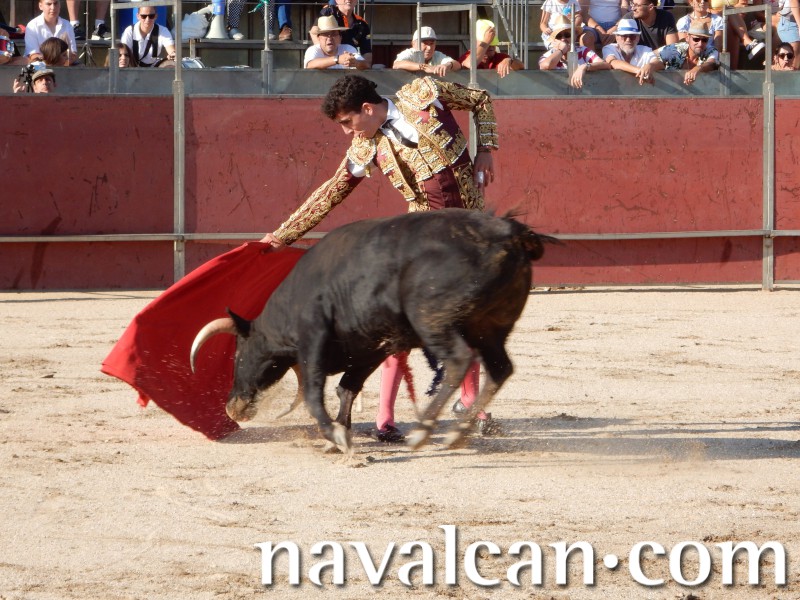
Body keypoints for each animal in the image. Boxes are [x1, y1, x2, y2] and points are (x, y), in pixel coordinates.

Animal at [191, 209, 554, 452]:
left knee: (459, 362)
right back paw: (456, 433)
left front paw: (334, 435)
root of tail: (508, 232)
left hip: (433, 320)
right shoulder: (371, 349)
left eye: (238, 354)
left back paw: (423, 431)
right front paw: (339, 435)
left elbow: (314, 392)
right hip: (491, 327)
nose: (232, 406)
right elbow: (347, 389)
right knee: (499, 368)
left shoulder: (314, 339)